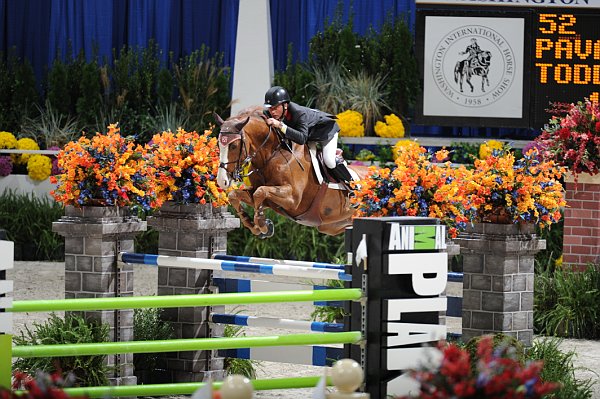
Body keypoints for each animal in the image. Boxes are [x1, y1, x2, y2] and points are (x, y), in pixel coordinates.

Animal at [213, 106, 368, 238]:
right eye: (219, 144)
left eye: (233, 146)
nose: (222, 181)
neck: (271, 155)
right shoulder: (264, 196)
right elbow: (236, 195)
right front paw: (255, 226)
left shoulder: (293, 199)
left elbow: (260, 192)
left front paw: (263, 225)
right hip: (332, 226)